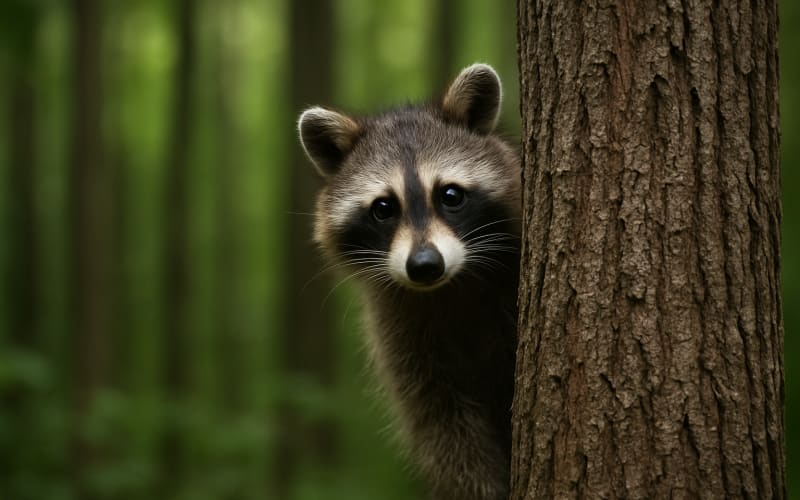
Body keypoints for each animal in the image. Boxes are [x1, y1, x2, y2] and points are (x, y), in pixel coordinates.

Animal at [297, 64, 520, 500]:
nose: (424, 265)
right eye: (383, 208)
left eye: (450, 195)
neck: (450, 286)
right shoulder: (400, 332)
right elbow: (440, 423)